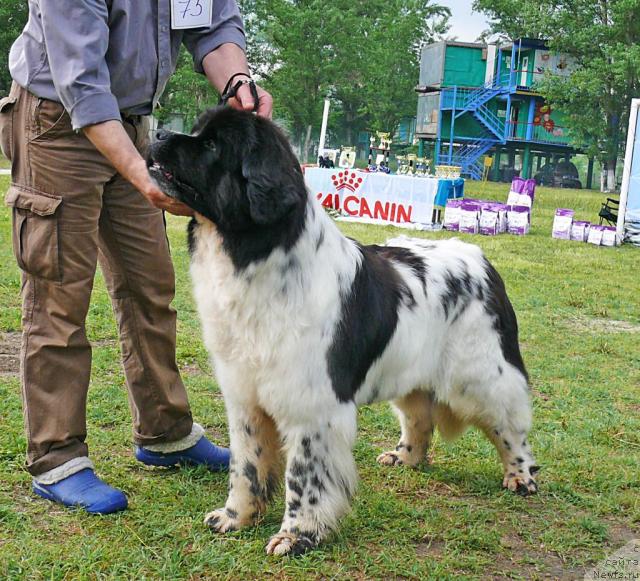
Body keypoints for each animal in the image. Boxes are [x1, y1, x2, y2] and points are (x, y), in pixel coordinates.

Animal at [148, 106, 536, 556]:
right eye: (195, 131)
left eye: (211, 144)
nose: (157, 133)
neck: (256, 255)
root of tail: (480, 258)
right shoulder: (245, 397)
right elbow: (246, 464)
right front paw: (235, 517)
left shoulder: (310, 406)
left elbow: (303, 475)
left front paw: (295, 535)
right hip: (411, 371)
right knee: (419, 417)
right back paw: (405, 457)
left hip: (481, 376)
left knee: (510, 424)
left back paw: (521, 476)